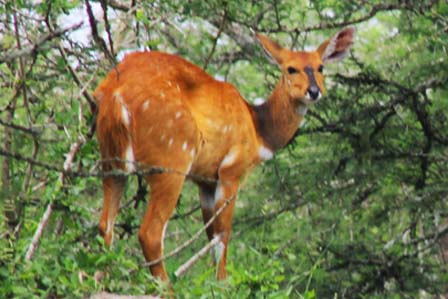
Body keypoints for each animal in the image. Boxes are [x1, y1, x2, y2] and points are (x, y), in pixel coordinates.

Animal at [93, 27, 354, 282]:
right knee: (150, 233)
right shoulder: (231, 171)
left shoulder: (206, 181)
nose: (314, 91)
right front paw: (222, 284)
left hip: (112, 161)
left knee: (105, 225)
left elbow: (211, 234)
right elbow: (223, 235)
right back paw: (165, 287)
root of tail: (115, 93)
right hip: (171, 161)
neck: (257, 129)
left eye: (320, 67)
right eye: (291, 68)